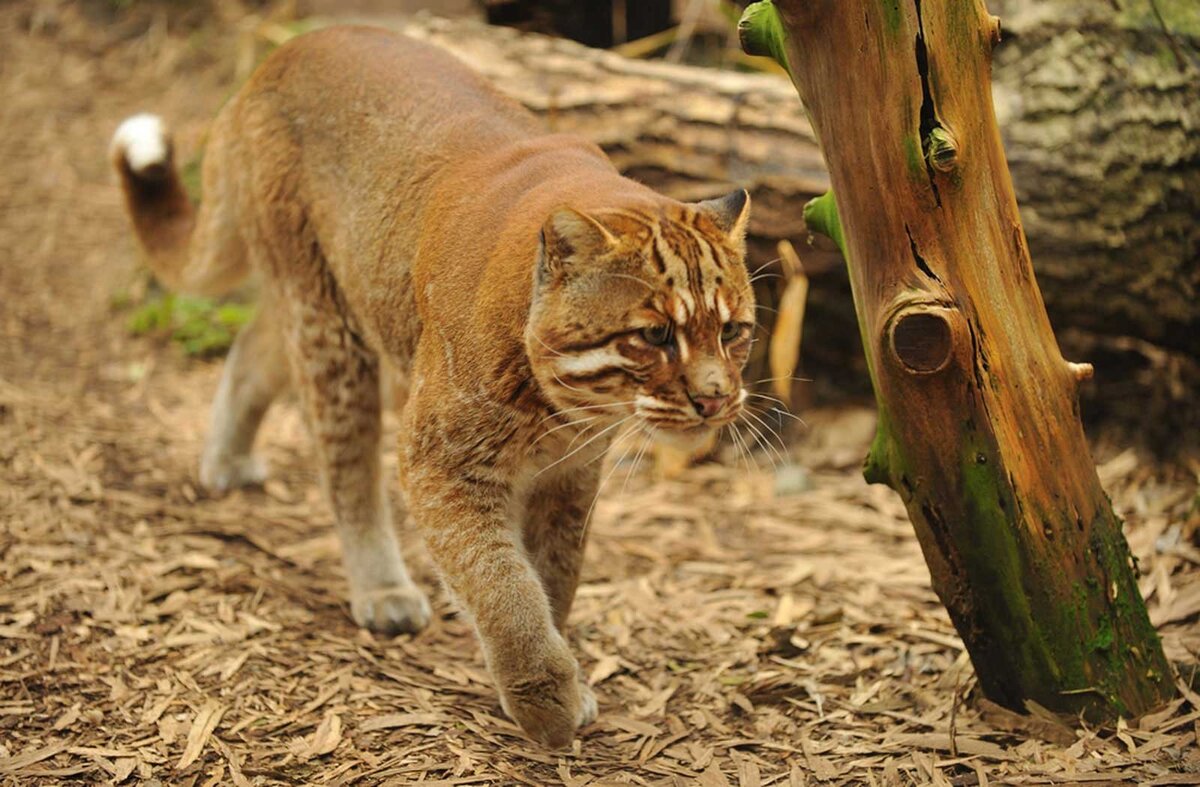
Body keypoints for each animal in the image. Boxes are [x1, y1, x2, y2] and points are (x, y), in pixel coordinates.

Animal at [110, 26, 748, 748]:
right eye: (656, 335)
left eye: (734, 330)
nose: (716, 398)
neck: (564, 409)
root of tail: (284, 51)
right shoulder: (441, 463)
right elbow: (502, 584)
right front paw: (546, 702)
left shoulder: (571, 474)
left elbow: (554, 574)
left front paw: (560, 677)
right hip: (332, 329)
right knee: (346, 465)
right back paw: (382, 589)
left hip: (325, 302)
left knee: (252, 347)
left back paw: (225, 460)